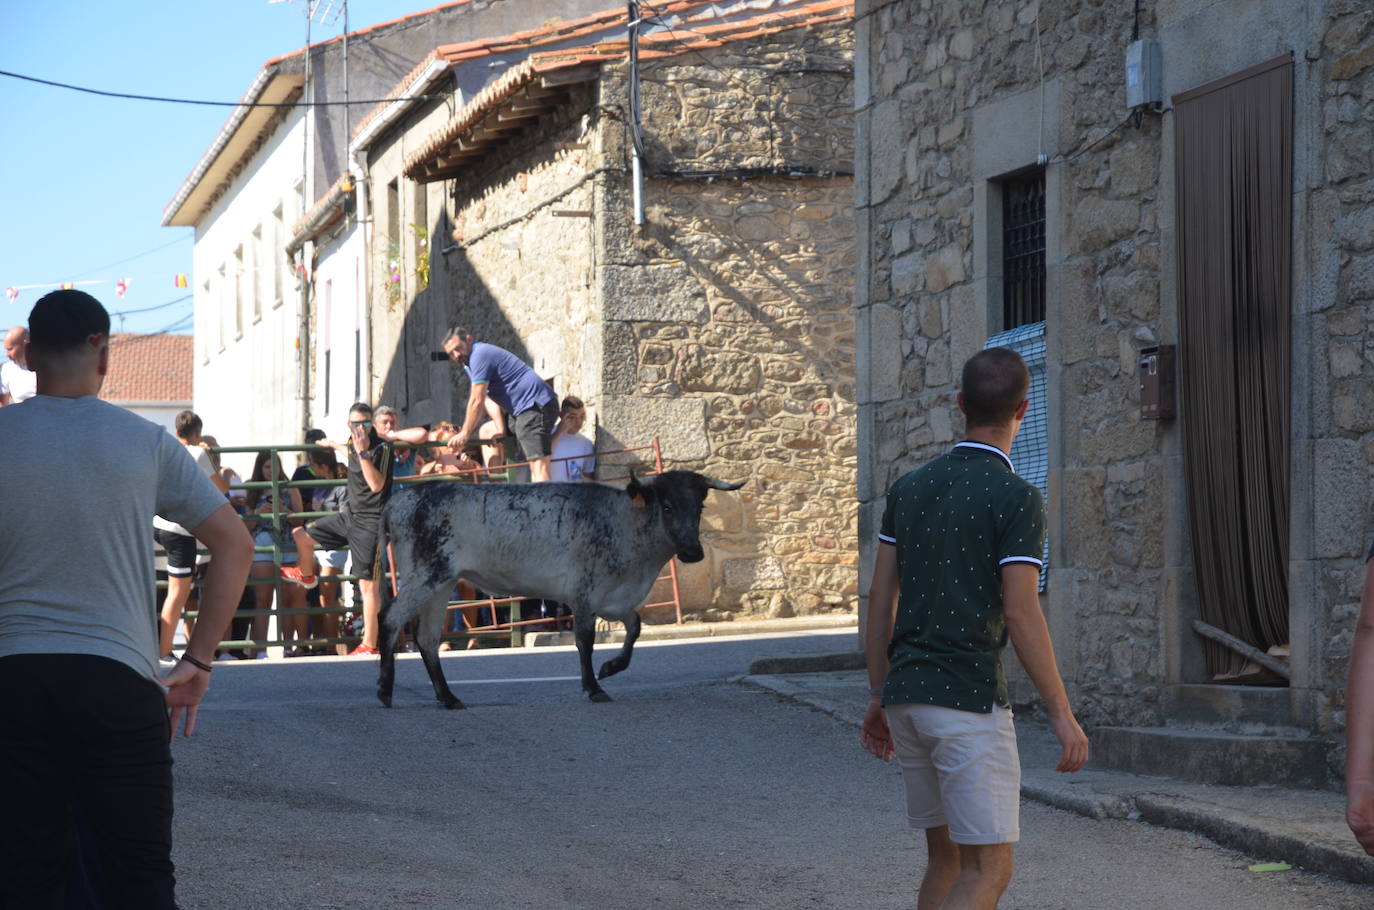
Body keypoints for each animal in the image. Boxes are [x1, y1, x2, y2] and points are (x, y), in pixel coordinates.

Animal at [373, 472, 741, 709]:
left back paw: (448, 697)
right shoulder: (584, 593)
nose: (692, 552)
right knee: (390, 617)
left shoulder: (615, 599)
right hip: (425, 576)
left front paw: (611, 668)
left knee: (427, 638)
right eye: (666, 506)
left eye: (700, 507)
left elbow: (634, 627)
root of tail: (402, 498)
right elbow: (584, 641)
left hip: (442, 584)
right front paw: (593, 686)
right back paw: (386, 689)